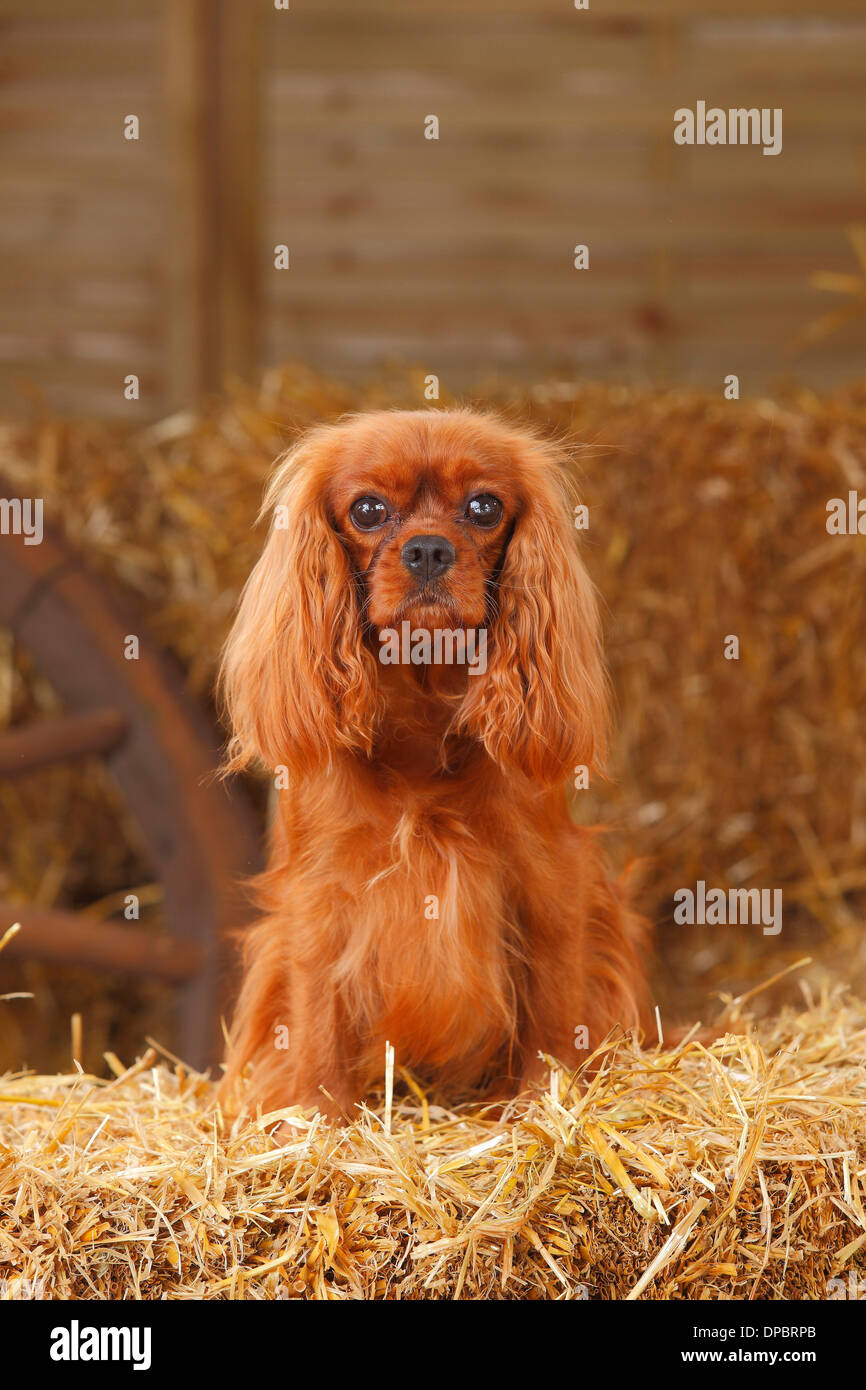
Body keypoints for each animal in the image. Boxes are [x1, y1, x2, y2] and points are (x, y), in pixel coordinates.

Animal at [219, 405, 647, 1117]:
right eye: (367, 510)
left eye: (483, 507)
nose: (427, 549)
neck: (422, 710)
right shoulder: (318, 898)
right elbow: (316, 1021)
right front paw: (317, 1118)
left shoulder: (549, 880)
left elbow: (553, 1011)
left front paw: (543, 1106)